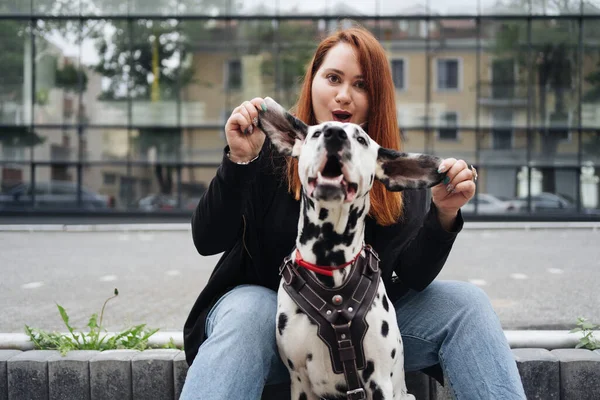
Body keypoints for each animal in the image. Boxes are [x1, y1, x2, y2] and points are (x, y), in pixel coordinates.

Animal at [258, 97, 446, 400]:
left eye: (361, 138)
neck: (331, 266)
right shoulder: (299, 382)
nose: (334, 134)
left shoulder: (378, 380)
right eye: (316, 133)